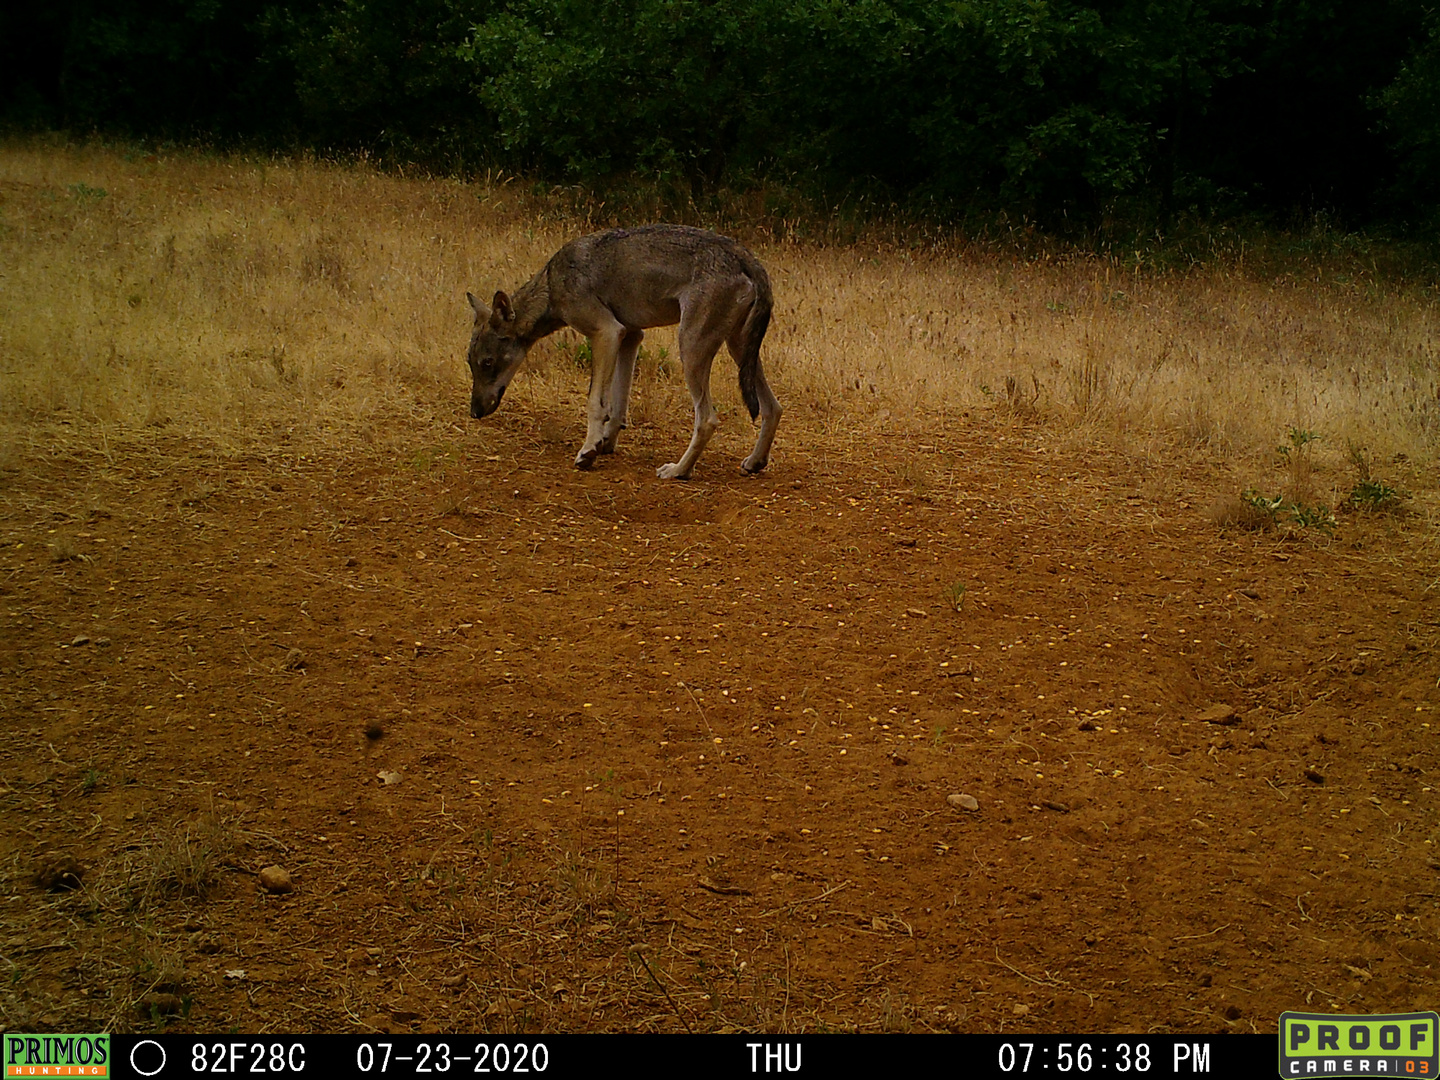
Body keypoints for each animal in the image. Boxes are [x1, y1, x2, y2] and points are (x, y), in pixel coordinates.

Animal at [466, 223, 783, 478]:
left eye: (487, 363)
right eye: (472, 363)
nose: (474, 412)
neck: (552, 287)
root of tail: (747, 257)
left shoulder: (607, 333)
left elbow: (595, 402)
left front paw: (588, 451)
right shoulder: (630, 336)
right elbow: (618, 404)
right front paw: (605, 443)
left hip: (691, 349)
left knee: (707, 420)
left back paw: (678, 471)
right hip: (739, 351)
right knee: (773, 407)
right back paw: (754, 462)